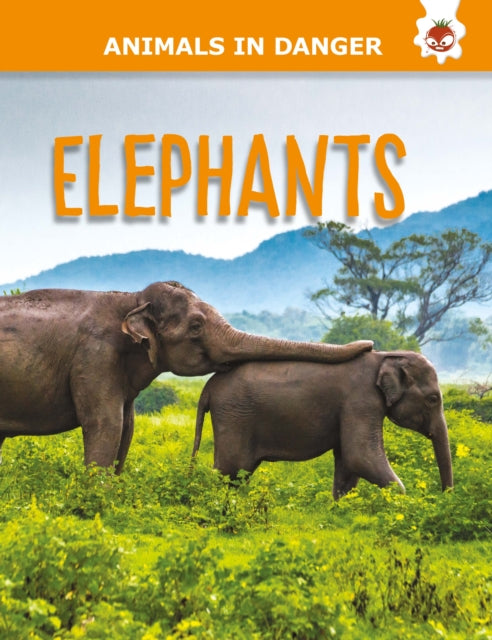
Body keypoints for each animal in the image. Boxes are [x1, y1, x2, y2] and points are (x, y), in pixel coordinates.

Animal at [0, 282, 372, 472]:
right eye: (195, 326)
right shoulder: (94, 356)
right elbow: (106, 424)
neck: (131, 298)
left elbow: (126, 428)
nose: (369, 345)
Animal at [191, 351, 453, 498]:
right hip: (234, 417)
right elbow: (360, 456)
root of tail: (208, 387)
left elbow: (348, 462)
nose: (444, 496)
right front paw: (403, 502)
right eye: (433, 399)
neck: (385, 357)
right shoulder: (362, 400)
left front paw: (340, 507)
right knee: (229, 470)